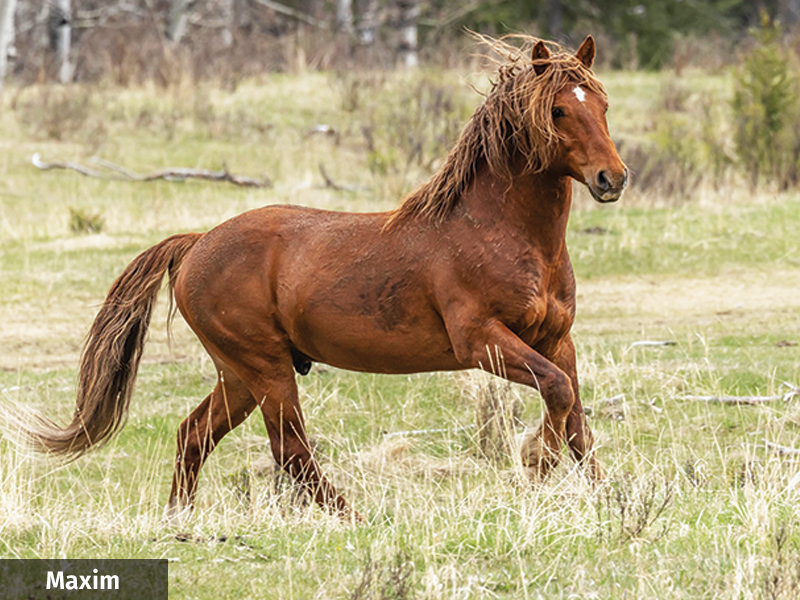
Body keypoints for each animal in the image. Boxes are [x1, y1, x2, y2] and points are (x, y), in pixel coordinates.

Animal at [9, 35, 627, 522]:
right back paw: (357, 518)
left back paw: (177, 519)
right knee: (290, 448)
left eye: (602, 103)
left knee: (195, 433)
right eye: (558, 111)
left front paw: (609, 500)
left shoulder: (557, 339)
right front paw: (536, 462)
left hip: (240, 374)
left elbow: (578, 420)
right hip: (265, 368)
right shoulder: (481, 342)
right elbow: (559, 393)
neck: (499, 231)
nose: (612, 178)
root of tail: (197, 244)